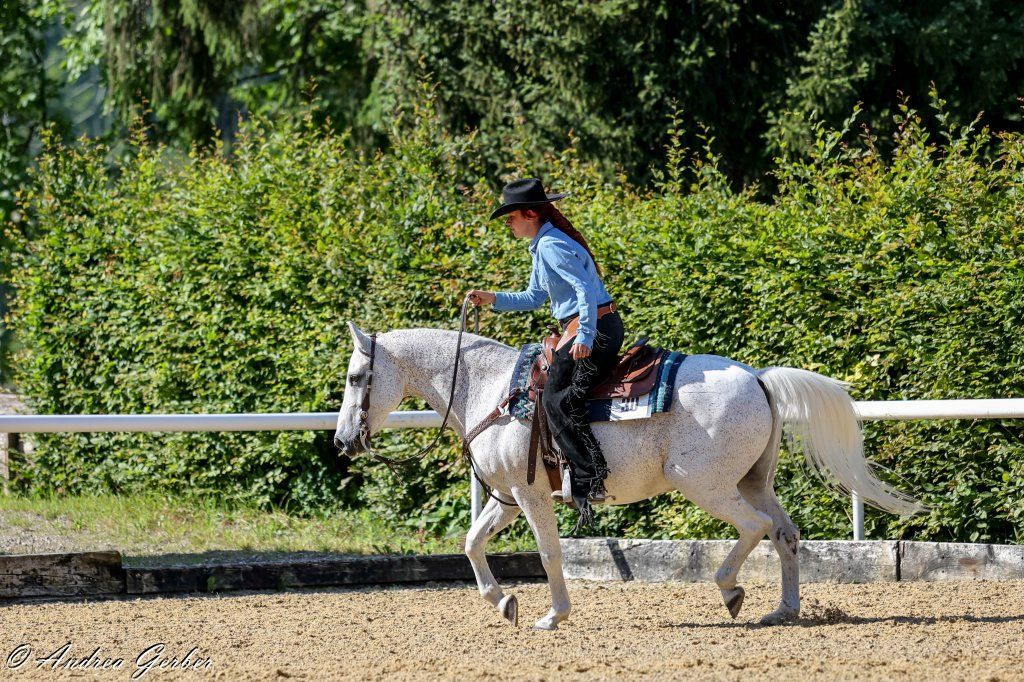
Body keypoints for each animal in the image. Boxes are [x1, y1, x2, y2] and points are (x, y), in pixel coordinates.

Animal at [333, 321, 920, 630]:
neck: (493, 391)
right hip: (754, 481)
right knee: (784, 533)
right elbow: (471, 543)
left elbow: (548, 553)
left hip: (704, 484)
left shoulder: (528, 493)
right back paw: (784, 610)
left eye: (357, 376)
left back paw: (731, 592)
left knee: (753, 528)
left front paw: (554, 614)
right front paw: (504, 603)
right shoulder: (504, 496)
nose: (342, 441)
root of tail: (758, 377)